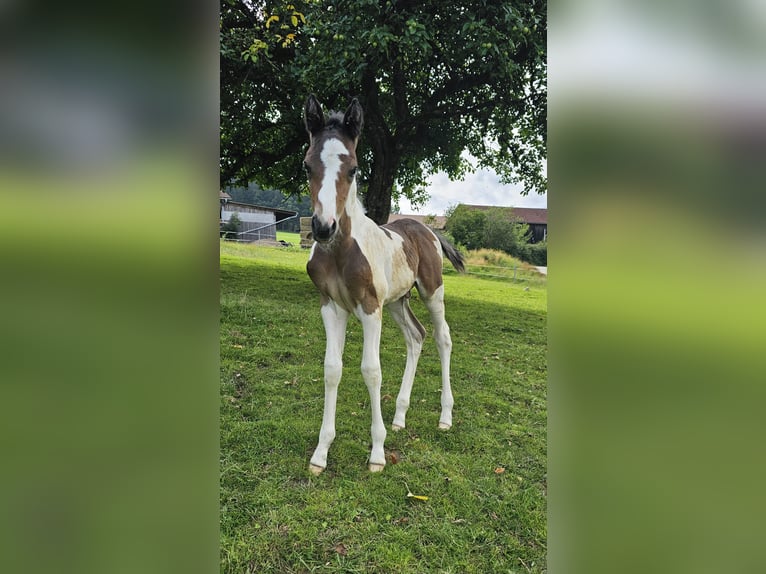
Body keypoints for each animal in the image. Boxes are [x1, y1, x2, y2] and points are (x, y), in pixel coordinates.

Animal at [304, 94, 464, 476]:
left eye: (353, 169)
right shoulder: (331, 306)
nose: (323, 228)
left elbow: (371, 370)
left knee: (442, 338)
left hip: (431, 292)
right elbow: (332, 369)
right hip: (397, 301)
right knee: (416, 337)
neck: (341, 250)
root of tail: (427, 229)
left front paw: (377, 453)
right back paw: (400, 417)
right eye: (306, 166)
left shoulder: (369, 308)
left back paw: (445, 417)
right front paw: (321, 453)